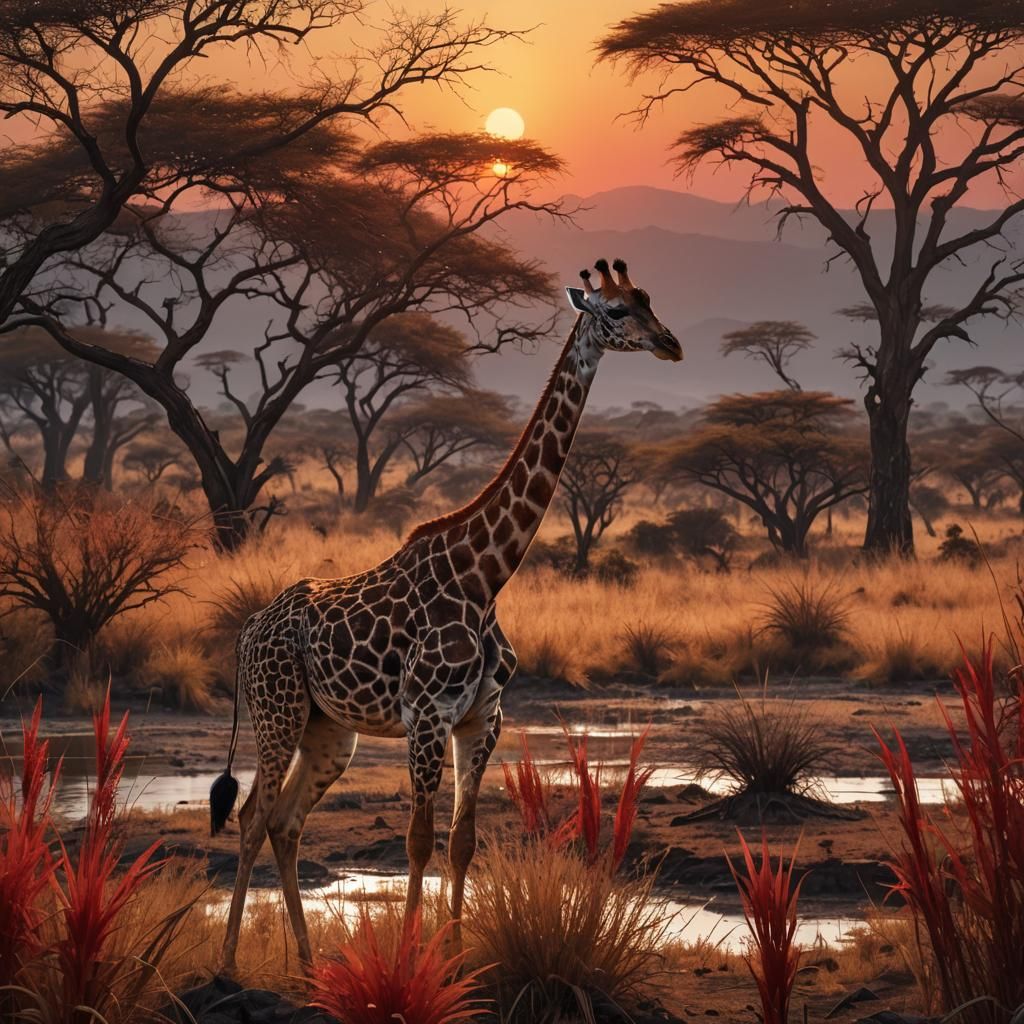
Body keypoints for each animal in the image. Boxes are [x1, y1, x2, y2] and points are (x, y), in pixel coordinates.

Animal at [210, 257, 682, 972]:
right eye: (617, 311)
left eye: (651, 300)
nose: (670, 343)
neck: (485, 577)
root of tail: (248, 629)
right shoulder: (426, 717)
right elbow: (419, 838)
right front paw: (411, 961)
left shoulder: (482, 717)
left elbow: (462, 841)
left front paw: (458, 961)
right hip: (277, 713)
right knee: (251, 818)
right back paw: (231, 962)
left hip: (329, 731)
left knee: (287, 823)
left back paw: (310, 964)